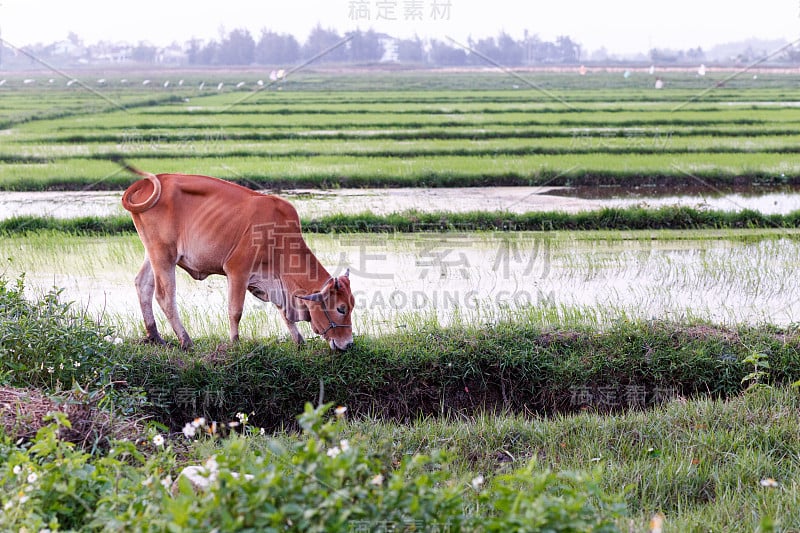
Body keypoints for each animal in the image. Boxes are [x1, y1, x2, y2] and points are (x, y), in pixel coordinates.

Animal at [120, 164, 354, 352]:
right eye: (340, 308)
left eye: (351, 306)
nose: (348, 344)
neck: (279, 237)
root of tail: (148, 181)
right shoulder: (237, 271)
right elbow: (236, 311)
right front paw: (235, 342)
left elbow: (284, 313)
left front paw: (299, 340)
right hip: (164, 254)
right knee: (165, 296)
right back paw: (185, 340)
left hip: (152, 252)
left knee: (143, 285)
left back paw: (154, 336)